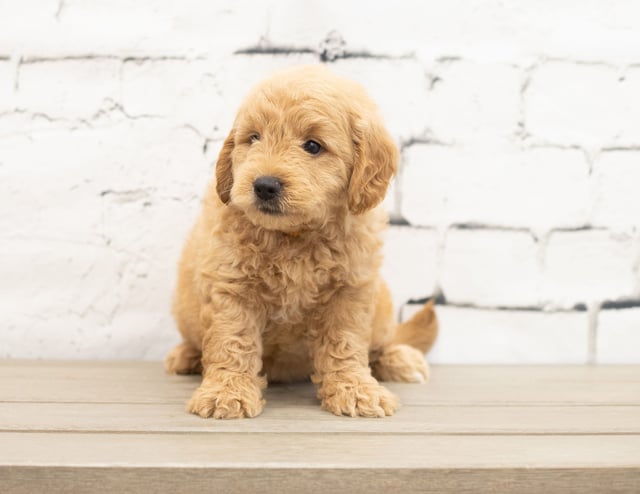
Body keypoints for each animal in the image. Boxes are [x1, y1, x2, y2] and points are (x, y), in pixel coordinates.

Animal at [165, 65, 438, 418]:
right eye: (253, 138)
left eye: (312, 146)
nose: (264, 185)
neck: (294, 235)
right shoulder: (231, 285)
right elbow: (232, 340)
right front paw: (226, 393)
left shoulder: (350, 290)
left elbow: (346, 343)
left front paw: (356, 390)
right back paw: (186, 356)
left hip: (383, 306)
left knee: (382, 343)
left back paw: (400, 359)